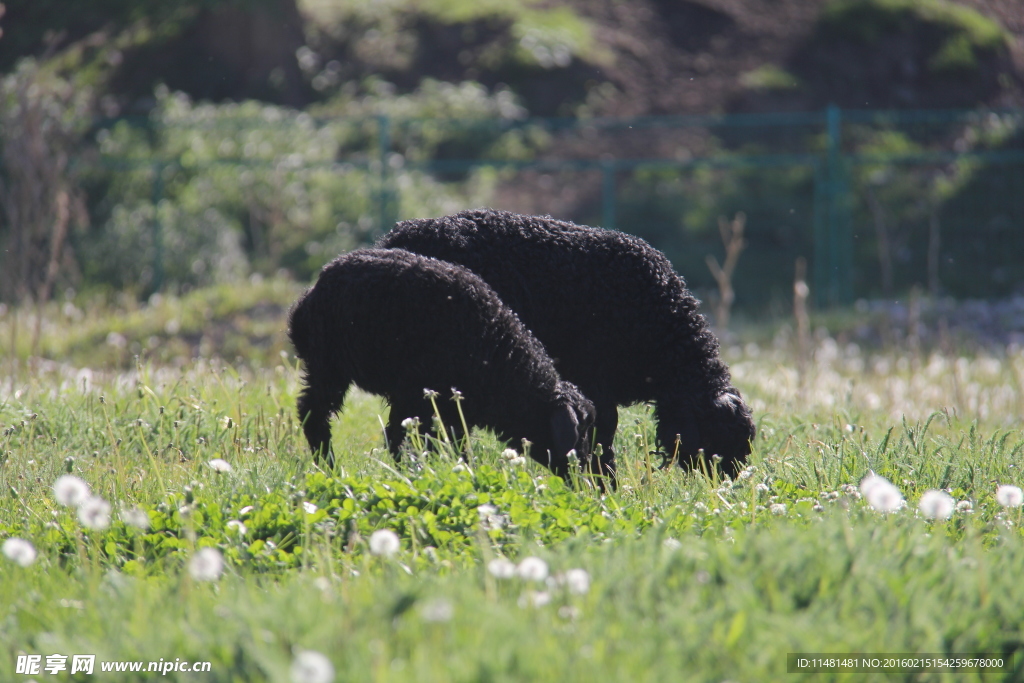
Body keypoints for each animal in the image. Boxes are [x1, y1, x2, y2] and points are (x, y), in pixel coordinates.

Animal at [284, 246, 598, 481]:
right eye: (580, 433)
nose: (585, 481)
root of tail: (311, 293)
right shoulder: (414, 396)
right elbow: (400, 438)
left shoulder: (454, 409)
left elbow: (453, 446)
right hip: (328, 365)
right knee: (313, 412)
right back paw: (328, 466)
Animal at [380, 208, 757, 481]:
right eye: (720, 438)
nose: (729, 482)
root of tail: (395, 237)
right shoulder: (595, 384)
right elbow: (604, 436)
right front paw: (605, 483)